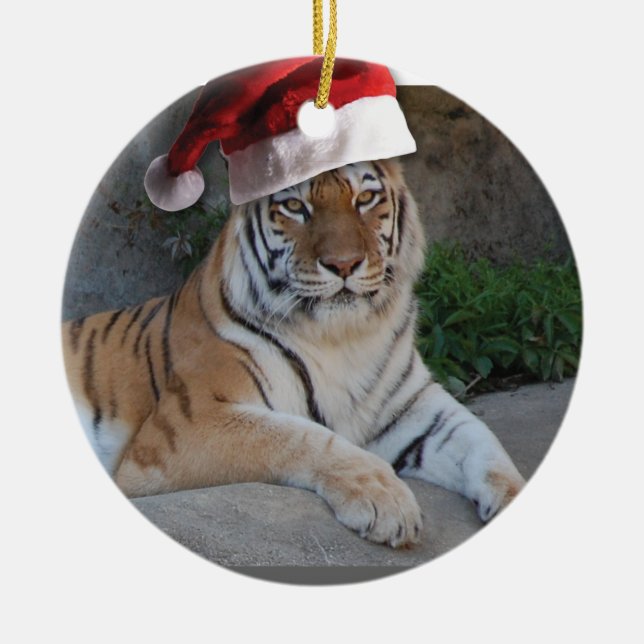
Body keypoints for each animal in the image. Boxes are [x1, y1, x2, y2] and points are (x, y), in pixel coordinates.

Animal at [62, 159, 525, 548]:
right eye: (294, 205)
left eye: (365, 198)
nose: (344, 264)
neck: (345, 337)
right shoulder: (187, 425)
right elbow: (303, 437)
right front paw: (386, 502)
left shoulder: (415, 407)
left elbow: (483, 441)